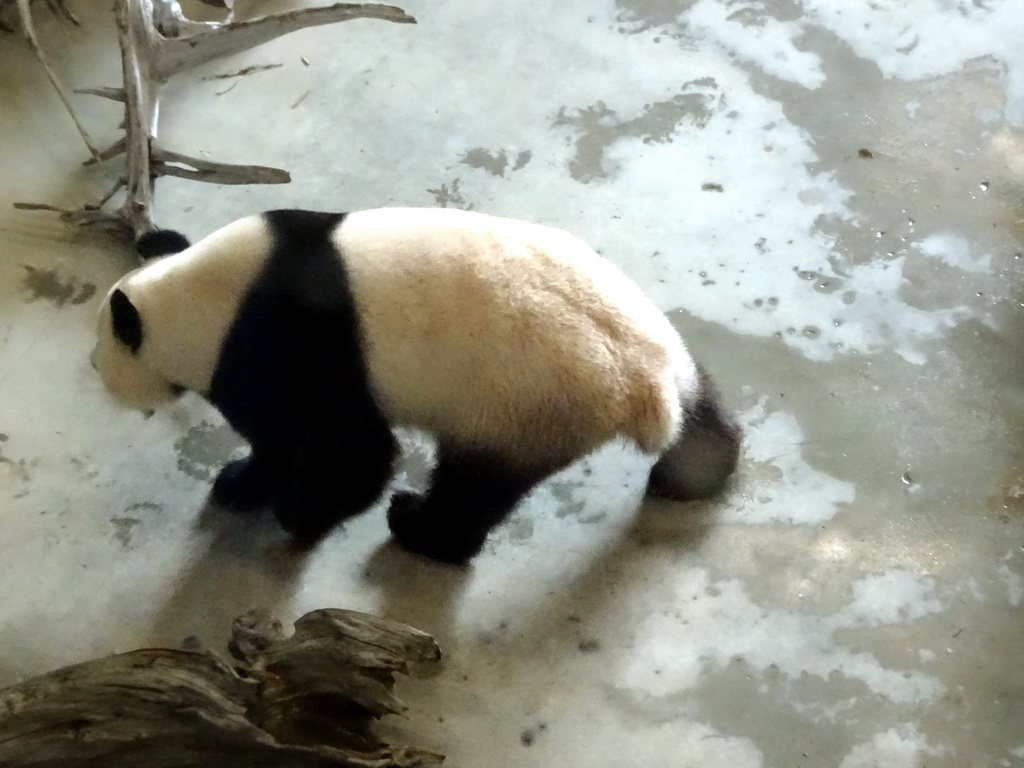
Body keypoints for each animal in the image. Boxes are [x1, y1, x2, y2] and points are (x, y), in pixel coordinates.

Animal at [92, 207, 741, 561]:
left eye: (100, 358)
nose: (99, 374)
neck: (206, 296)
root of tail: (643, 382)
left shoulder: (290, 346)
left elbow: (350, 447)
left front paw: (304, 514)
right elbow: (280, 444)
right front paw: (242, 483)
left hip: (523, 398)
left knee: (476, 481)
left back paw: (421, 528)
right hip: (653, 339)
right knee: (702, 408)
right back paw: (695, 474)